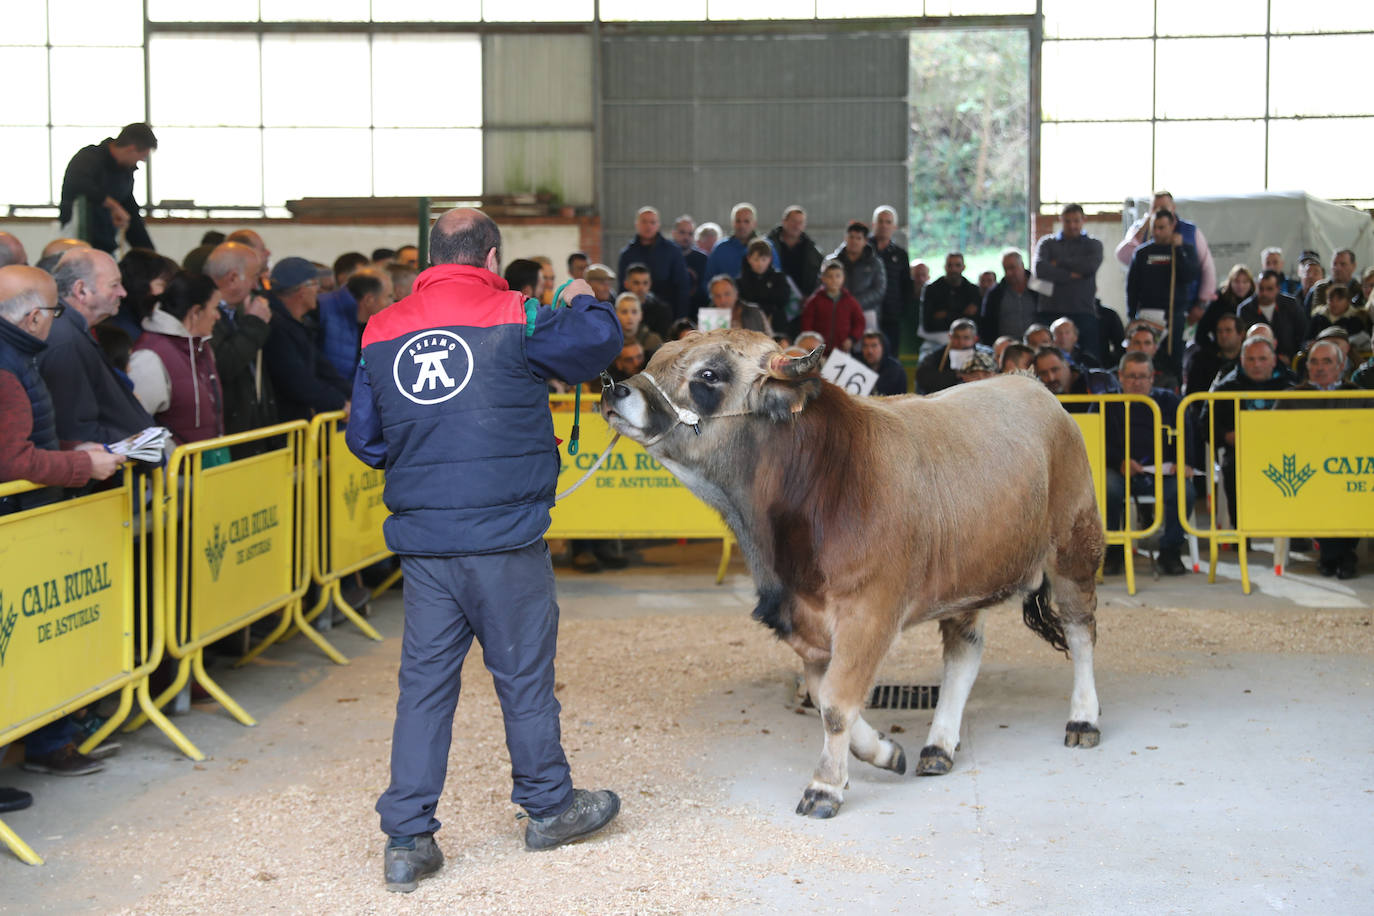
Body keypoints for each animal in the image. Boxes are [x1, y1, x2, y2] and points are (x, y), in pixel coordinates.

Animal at [601, 329, 1104, 818]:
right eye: (658, 357)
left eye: (709, 374)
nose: (615, 389)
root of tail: (1029, 383)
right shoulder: (806, 625)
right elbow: (824, 694)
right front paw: (883, 751)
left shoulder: (869, 614)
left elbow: (837, 702)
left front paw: (825, 786)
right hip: (968, 578)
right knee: (965, 652)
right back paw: (938, 745)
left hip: (1075, 550)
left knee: (1080, 632)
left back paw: (1083, 718)